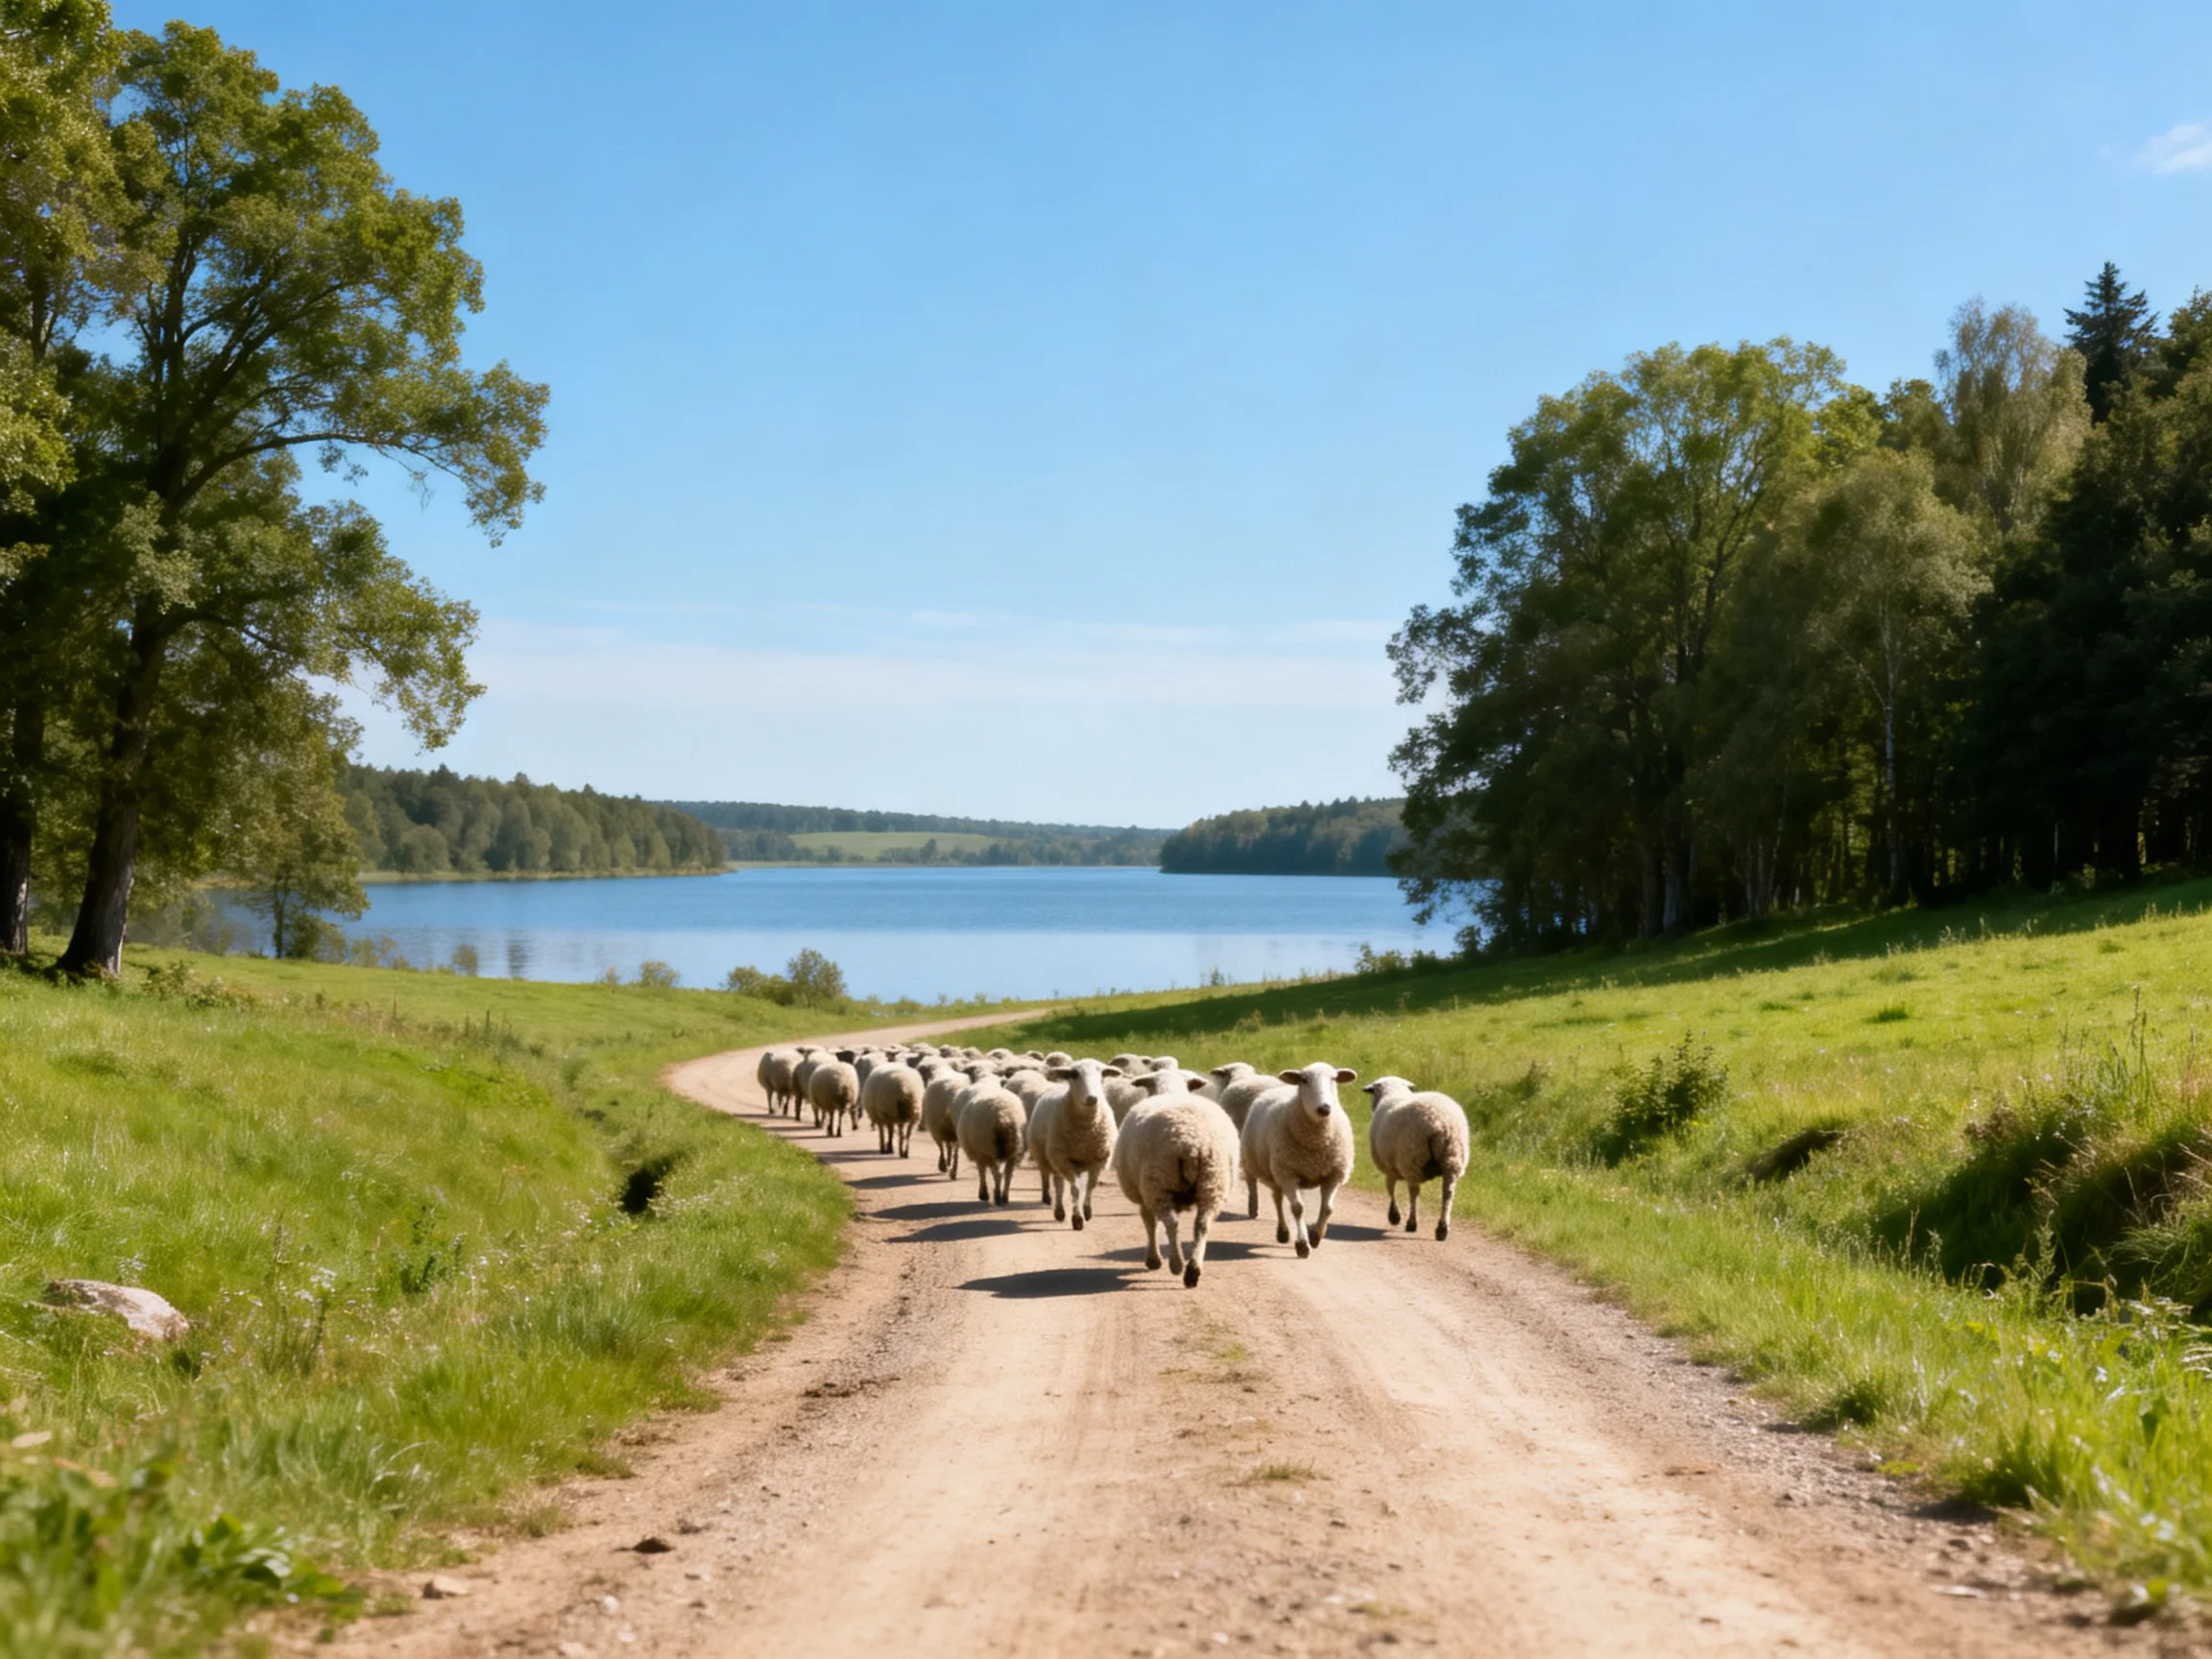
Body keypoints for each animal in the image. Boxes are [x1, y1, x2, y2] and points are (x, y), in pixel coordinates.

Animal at [957, 1080, 1027, 1205]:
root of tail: (1003, 1116)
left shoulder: (979, 1153)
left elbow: (981, 1171)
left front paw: (983, 1194)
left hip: (988, 1147)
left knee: (997, 1173)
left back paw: (997, 1196)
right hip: (1014, 1149)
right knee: (1008, 1173)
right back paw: (1004, 1197)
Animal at [1031, 1058, 1123, 1229]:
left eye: (1102, 1074)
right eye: (1074, 1074)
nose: (1092, 1098)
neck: (1086, 1130)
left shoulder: (1098, 1160)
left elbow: (1091, 1186)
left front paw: (1087, 1211)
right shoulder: (1063, 1159)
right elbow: (1075, 1190)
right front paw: (1077, 1219)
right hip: (1052, 1157)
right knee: (1058, 1184)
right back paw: (1059, 1212)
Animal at [1112, 1072, 1239, 1287]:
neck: (1170, 1089)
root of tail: (1193, 1142)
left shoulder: (1144, 1194)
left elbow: (1149, 1223)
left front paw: (1153, 1260)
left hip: (1158, 1182)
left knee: (1171, 1223)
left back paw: (1177, 1264)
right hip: (1214, 1181)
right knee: (1202, 1224)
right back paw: (1193, 1271)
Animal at [1240, 1062, 1358, 1258]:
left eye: (1334, 1079)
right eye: (1304, 1080)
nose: (1324, 1108)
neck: (1316, 1140)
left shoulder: (1334, 1174)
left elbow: (1328, 1208)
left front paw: (1315, 1236)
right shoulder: (1287, 1174)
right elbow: (1297, 1208)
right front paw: (1302, 1244)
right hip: (1275, 1172)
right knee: (1278, 1200)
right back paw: (1283, 1232)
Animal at [1363, 1077, 1471, 1241]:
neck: (1393, 1092)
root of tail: (1440, 1123)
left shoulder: (1389, 1167)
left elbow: (1390, 1189)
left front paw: (1394, 1216)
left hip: (1412, 1158)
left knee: (1414, 1193)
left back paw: (1412, 1223)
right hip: (1452, 1158)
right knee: (1447, 1194)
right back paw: (1442, 1229)